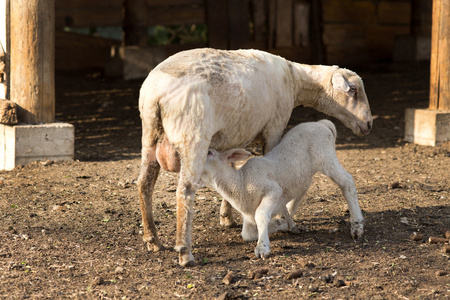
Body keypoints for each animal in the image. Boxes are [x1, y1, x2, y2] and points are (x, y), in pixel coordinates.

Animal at [200, 119, 366, 258]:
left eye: (209, 152)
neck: (241, 182)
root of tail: (323, 124)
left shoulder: (273, 190)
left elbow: (261, 215)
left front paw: (262, 247)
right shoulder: (247, 215)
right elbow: (247, 234)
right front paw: (280, 224)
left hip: (326, 157)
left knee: (347, 182)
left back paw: (357, 226)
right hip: (305, 171)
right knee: (304, 186)